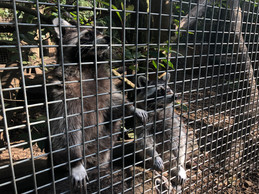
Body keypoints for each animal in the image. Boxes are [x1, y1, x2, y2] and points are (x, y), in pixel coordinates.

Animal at [48, 18, 146, 189]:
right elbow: (65, 127)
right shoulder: (66, 92)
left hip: (103, 146)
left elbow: (114, 103)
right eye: (88, 34)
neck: (89, 65)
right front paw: (75, 163)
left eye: (100, 32)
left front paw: (131, 108)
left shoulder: (106, 85)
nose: (108, 38)